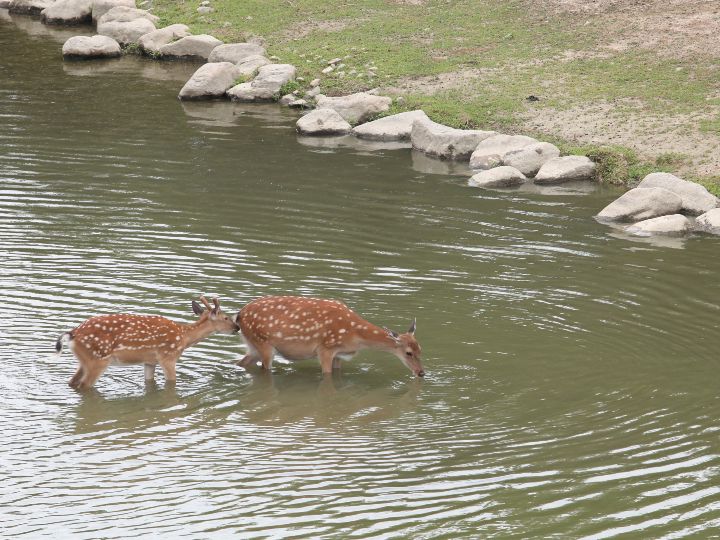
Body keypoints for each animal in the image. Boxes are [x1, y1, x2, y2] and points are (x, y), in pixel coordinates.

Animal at [57, 298, 236, 390]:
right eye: (226, 317)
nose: (237, 327)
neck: (184, 337)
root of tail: (72, 334)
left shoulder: (150, 361)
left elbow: (150, 382)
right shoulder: (168, 356)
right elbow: (172, 382)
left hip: (85, 360)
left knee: (72, 381)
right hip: (98, 359)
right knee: (84, 385)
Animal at [233, 298, 424, 378]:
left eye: (420, 350)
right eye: (408, 352)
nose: (421, 372)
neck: (355, 335)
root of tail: (239, 315)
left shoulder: (339, 354)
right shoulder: (325, 348)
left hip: (253, 345)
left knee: (241, 362)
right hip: (263, 343)